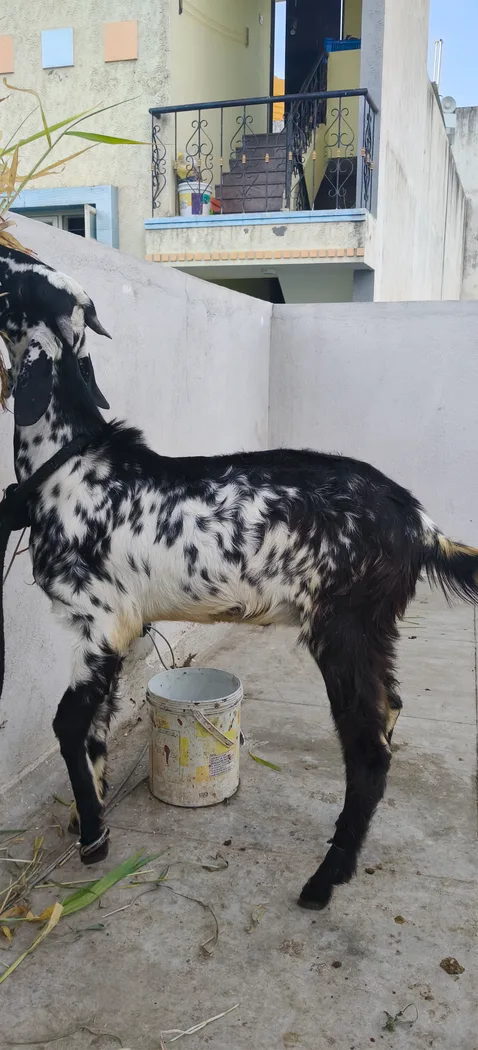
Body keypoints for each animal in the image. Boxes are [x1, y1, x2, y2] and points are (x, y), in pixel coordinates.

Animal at [1, 243, 478, 908]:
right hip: (374, 630)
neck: (69, 463)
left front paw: (93, 838)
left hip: (344, 628)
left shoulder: (96, 623)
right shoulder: (117, 632)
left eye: (10, 282)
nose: (4, 248)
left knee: (367, 750)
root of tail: (418, 523)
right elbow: (96, 728)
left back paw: (324, 880)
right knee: (390, 712)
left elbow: (67, 725)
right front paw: (84, 814)